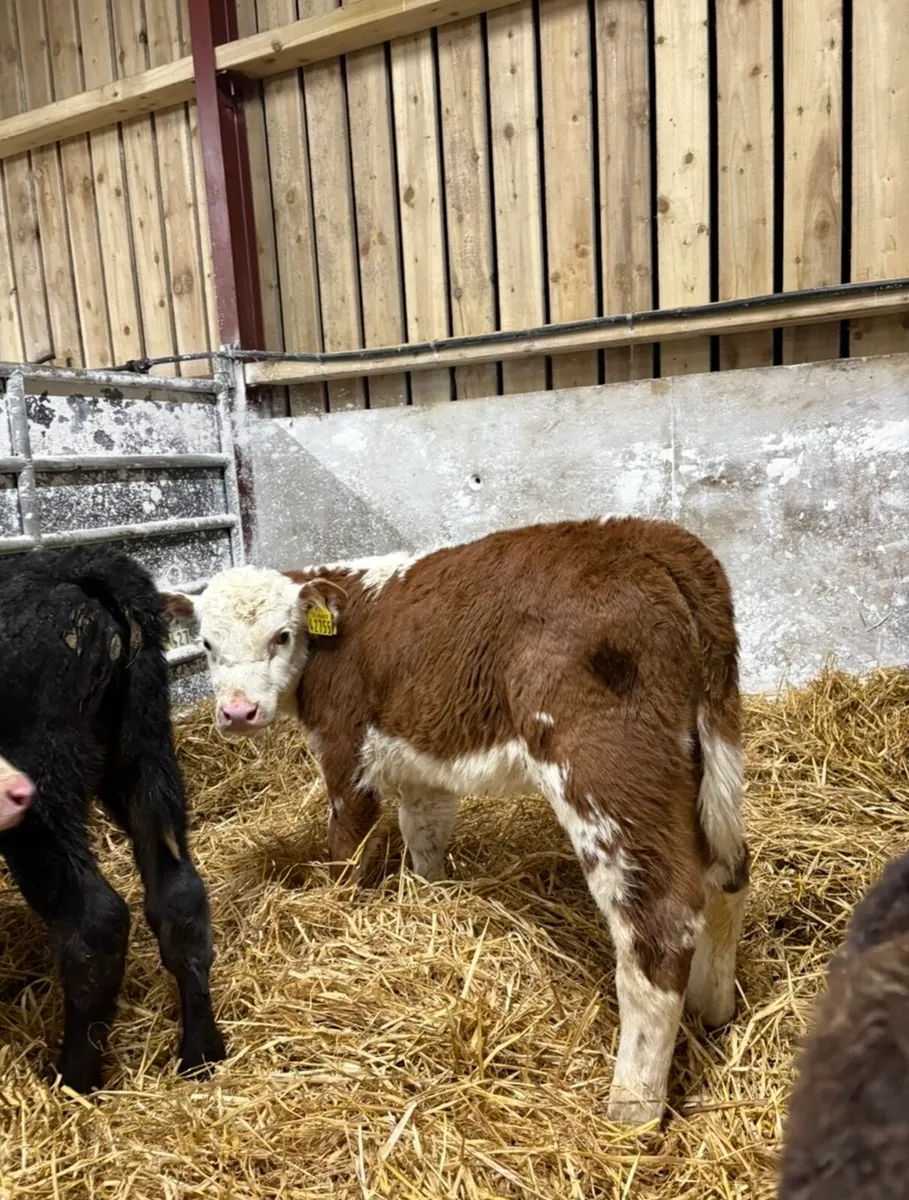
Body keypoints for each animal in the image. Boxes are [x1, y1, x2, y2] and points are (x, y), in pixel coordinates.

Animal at [0, 546, 226, 1093]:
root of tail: (76, 567)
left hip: (40, 781)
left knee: (94, 919)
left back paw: (74, 1078)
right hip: (143, 752)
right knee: (179, 897)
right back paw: (200, 1052)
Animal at [162, 517, 750, 1125]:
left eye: (281, 635)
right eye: (206, 644)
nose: (238, 712)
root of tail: (650, 539)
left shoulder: (347, 751)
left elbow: (348, 851)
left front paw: (339, 917)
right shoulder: (421, 764)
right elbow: (425, 836)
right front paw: (430, 905)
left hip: (604, 766)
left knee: (658, 921)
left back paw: (631, 1109)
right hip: (715, 751)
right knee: (727, 875)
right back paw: (713, 1012)